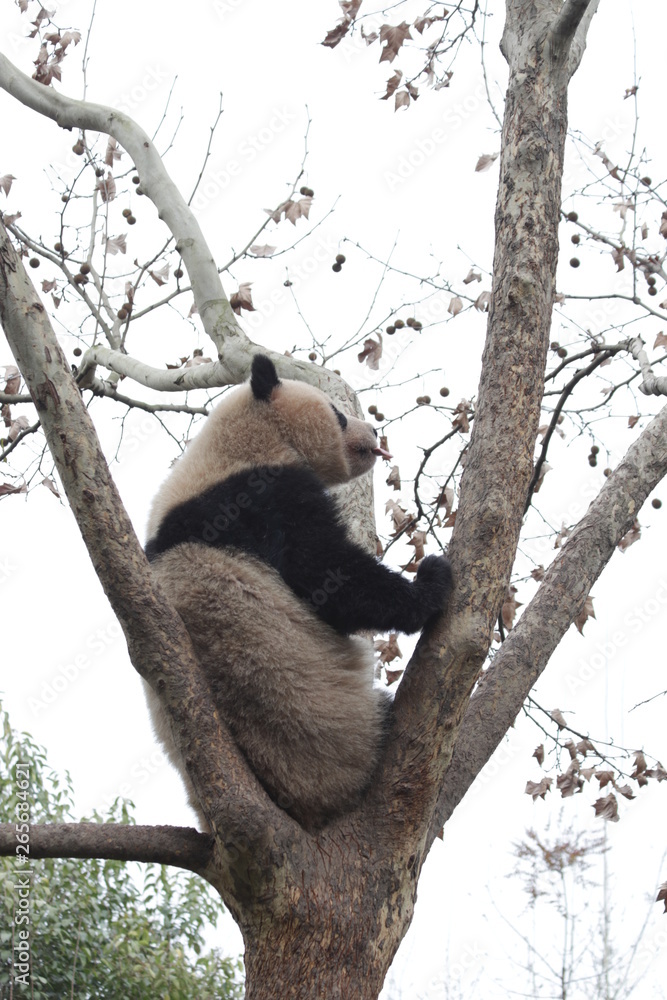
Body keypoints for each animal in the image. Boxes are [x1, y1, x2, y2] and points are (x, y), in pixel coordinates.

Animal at [144, 354, 452, 831]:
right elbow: (329, 575)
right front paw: (429, 584)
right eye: (338, 414)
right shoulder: (260, 498)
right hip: (330, 731)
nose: (373, 433)